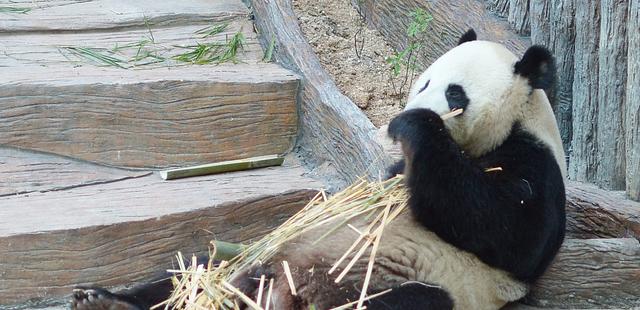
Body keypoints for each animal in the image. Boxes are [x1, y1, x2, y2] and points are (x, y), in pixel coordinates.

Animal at [70, 30, 564, 310]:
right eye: (424, 81)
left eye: (455, 93)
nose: (414, 106)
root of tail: (277, 293)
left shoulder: (534, 165)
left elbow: (501, 227)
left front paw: (414, 126)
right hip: (257, 254)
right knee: (196, 267)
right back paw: (103, 301)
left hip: (406, 286)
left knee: (410, 302)